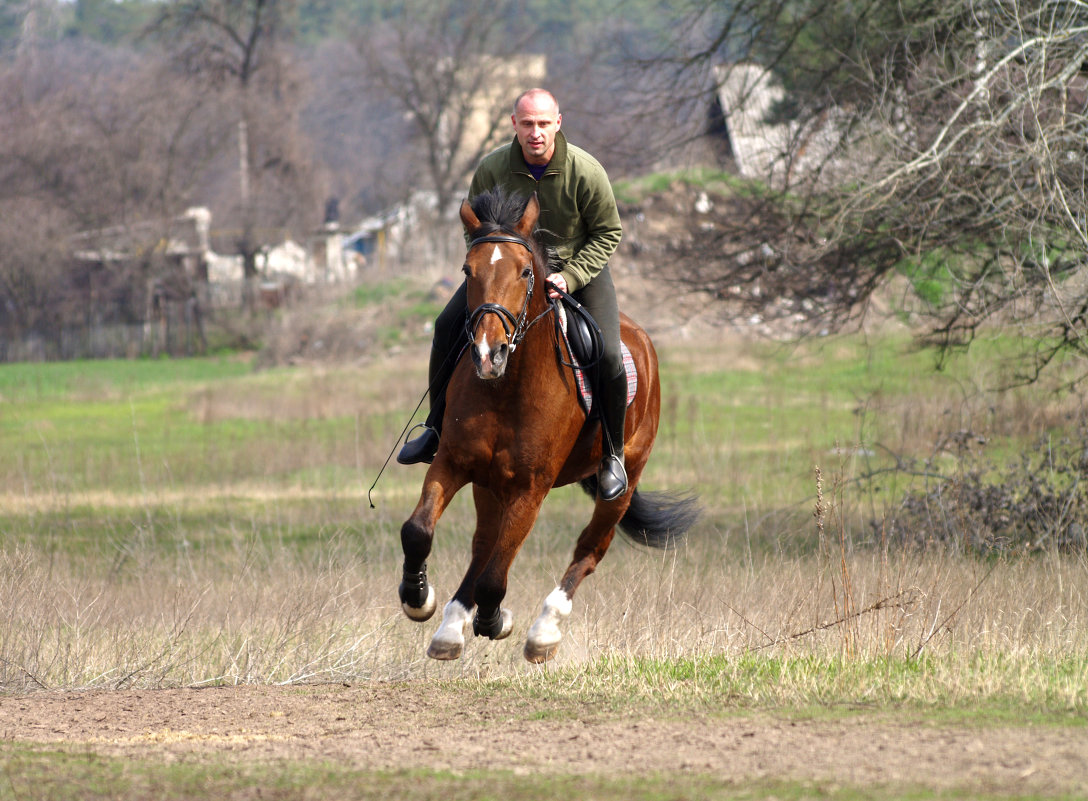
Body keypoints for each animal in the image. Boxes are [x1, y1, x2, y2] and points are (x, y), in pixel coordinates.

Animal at [398, 187, 696, 661]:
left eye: (524, 272)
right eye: (467, 270)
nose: (488, 353)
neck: (507, 388)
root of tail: (641, 340)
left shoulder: (530, 489)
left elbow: (495, 576)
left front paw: (494, 620)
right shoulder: (453, 463)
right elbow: (418, 531)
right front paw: (419, 598)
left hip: (624, 481)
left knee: (589, 549)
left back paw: (543, 631)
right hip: (489, 484)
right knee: (483, 545)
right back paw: (450, 627)